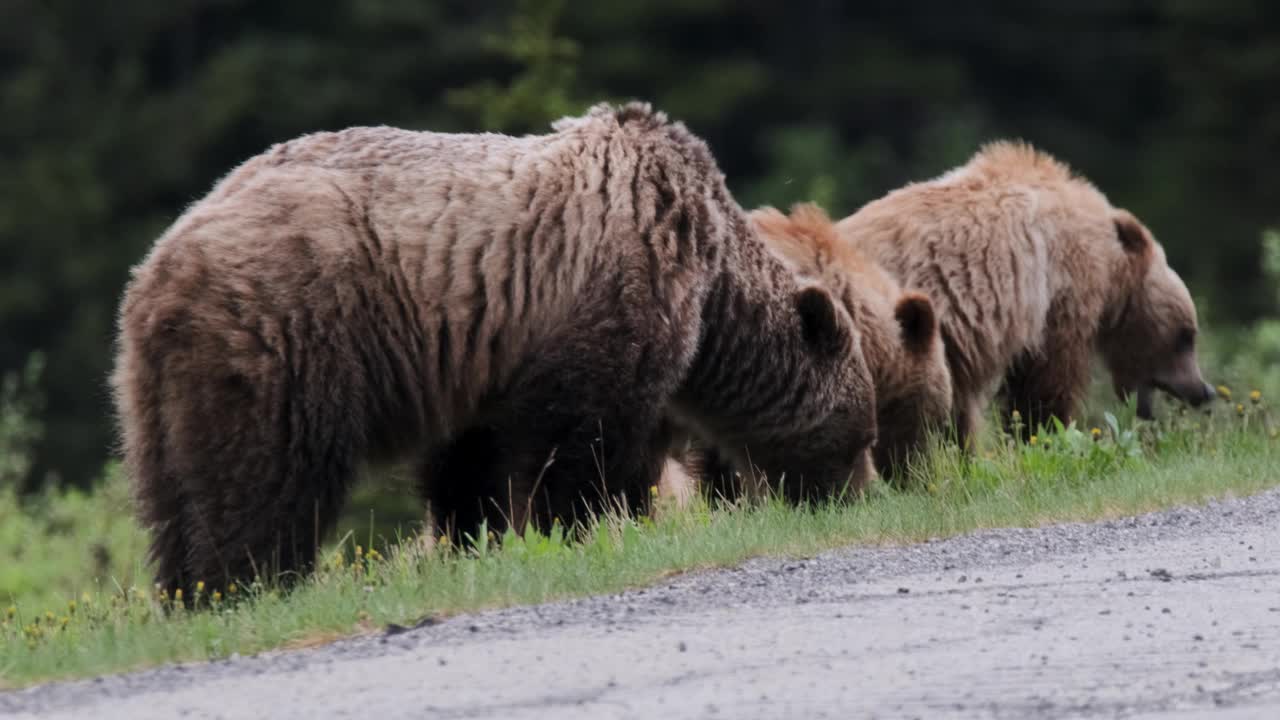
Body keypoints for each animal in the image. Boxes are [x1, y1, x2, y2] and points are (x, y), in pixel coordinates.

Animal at [112, 102, 880, 594]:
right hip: (285, 330)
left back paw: (187, 590)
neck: (713, 281)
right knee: (266, 473)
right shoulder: (607, 289)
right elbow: (582, 439)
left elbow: (468, 461)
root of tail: (163, 263)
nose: (862, 494)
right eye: (862, 435)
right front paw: (594, 523)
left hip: (157, 386)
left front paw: (473, 537)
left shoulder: (480, 349)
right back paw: (251, 581)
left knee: (174, 489)